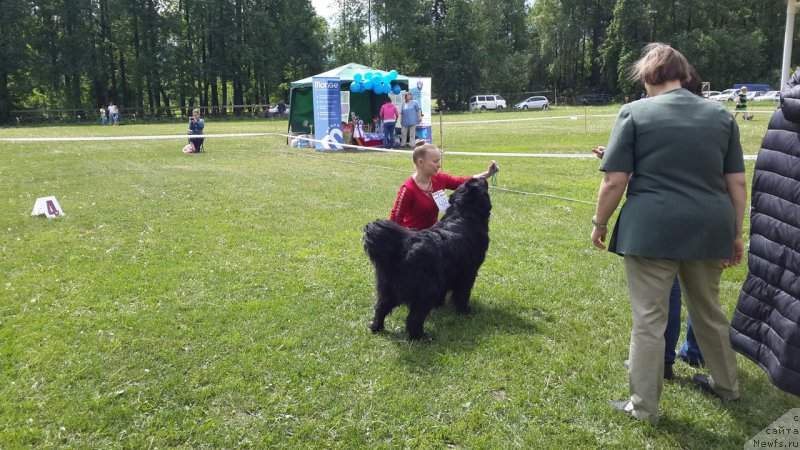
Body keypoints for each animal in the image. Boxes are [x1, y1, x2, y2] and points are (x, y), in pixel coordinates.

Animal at [364, 178, 490, 340]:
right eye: (479, 182)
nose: (483, 177)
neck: (463, 215)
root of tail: (402, 247)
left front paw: (440, 305)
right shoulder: (468, 273)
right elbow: (463, 294)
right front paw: (465, 311)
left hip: (388, 289)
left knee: (380, 308)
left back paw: (376, 328)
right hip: (425, 291)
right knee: (414, 318)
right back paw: (421, 337)